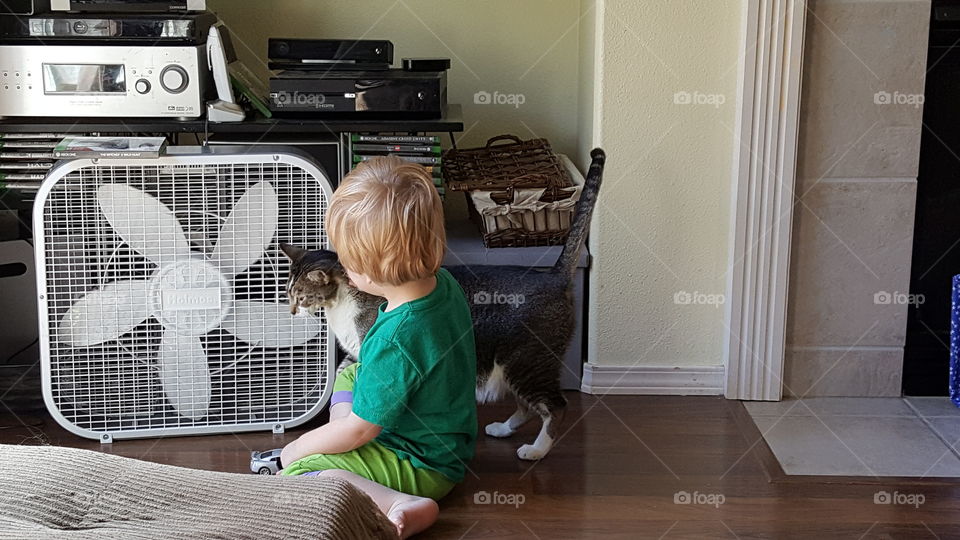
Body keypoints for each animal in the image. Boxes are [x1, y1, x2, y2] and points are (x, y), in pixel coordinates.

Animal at [282, 148, 604, 460]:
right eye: (287, 293)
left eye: (300, 295)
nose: (292, 311)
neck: (341, 303)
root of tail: (553, 275)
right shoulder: (356, 353)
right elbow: (342, 370)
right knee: (527, 406)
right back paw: (502, 429)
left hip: (527, 362)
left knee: (556, 406)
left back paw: (536, 450)